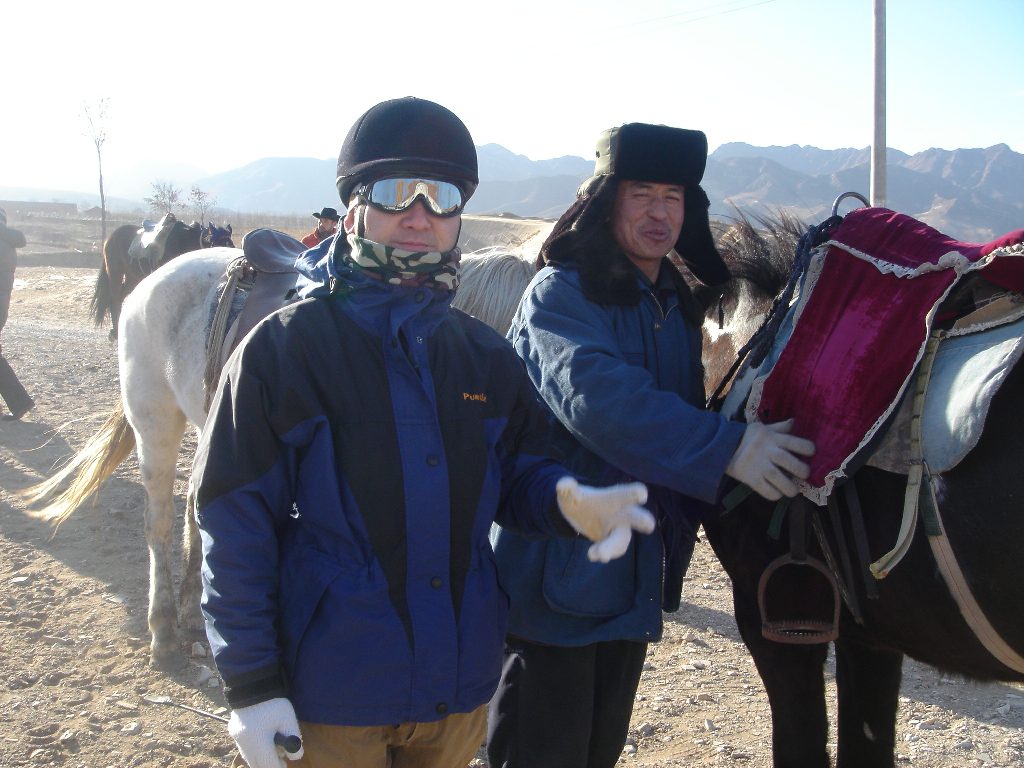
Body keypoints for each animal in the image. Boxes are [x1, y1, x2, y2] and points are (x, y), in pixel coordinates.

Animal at [22, 241, 536, 667]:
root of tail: (149, 282)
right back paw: (164, 630)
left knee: (196, 509)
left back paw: (193, 615)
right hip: (156, 422)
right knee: (160, 522)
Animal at [90, 218, 234, 337]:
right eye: (217, 245)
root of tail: (110, 237)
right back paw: (115, 332)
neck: (184, 242)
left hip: (132, 277)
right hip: (115, 273)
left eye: (231, 246)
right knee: (114, 299)